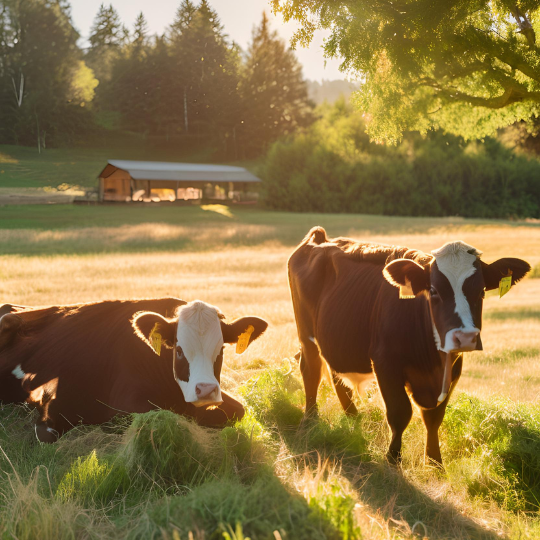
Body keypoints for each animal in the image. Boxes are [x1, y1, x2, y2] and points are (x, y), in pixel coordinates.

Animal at [288, 226, 528, 466]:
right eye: (434, 291)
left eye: (481, 291)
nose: (465, 337)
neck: (433, 363)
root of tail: (319, 239)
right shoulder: (385, 364)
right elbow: (400, 413)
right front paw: (393, 459)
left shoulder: (453, 370)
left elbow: (434, 417)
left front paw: (435, 462)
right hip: (306, 335)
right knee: (311, 372)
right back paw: (310, 421)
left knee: (336, 376)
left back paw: (353, 420)